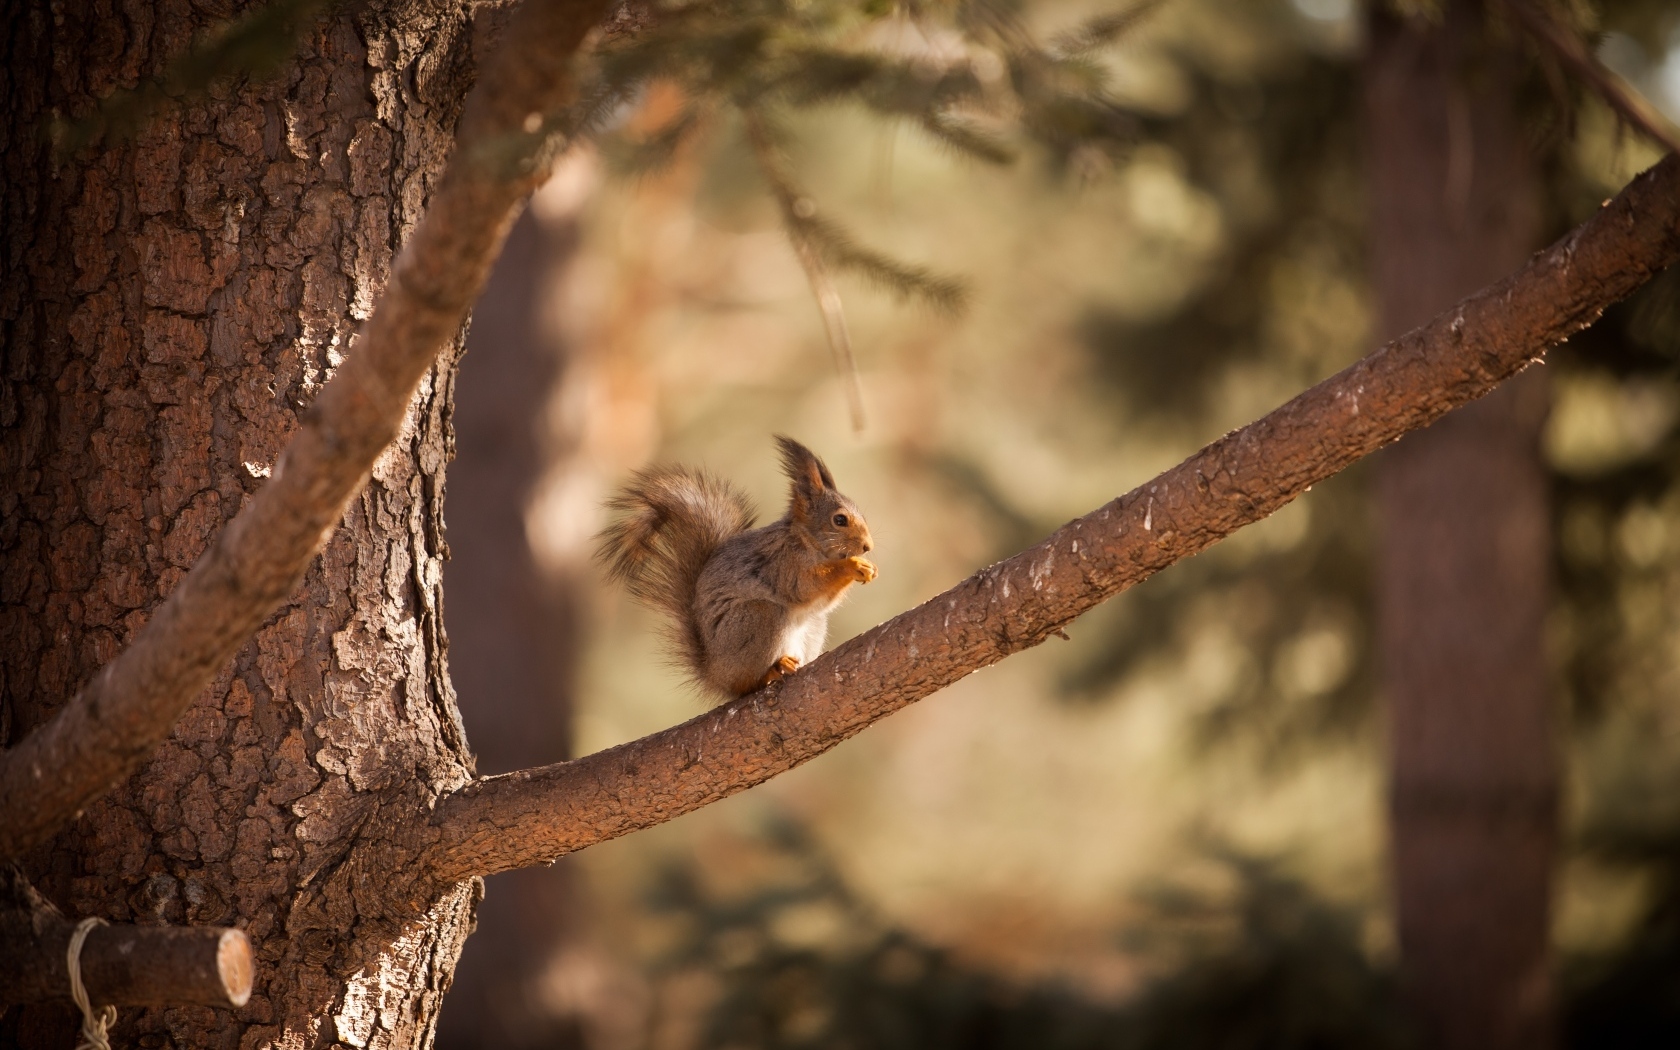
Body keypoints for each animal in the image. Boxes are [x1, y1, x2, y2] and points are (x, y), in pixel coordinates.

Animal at [598, 436, 880, 698]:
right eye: (839, 520)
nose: (868, 546)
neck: (806, 540)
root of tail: (715, 673)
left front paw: (868, 568)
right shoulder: (783, 563)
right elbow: (805, 587)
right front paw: (853, 565)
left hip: (813, 626)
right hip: (758, 619)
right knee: (744, 684)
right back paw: (770, 672)